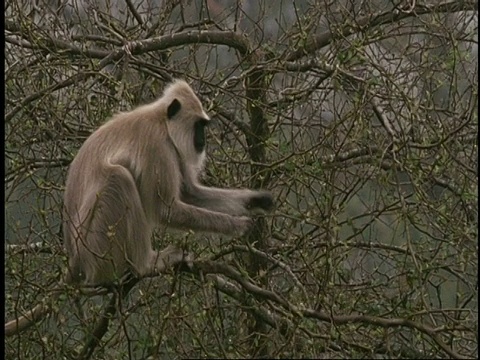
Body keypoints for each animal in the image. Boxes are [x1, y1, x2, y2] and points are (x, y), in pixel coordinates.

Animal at [5, 80, 274, 336]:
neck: (160, 120)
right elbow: (166, 210)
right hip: (97, 246)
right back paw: (147, 263)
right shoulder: (158, 145)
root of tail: (76, 259)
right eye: (199, 126)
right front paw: (238, 225)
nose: (202, 141)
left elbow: (190, 193)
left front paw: (258, 202)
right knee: (119, 177)